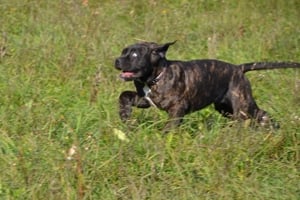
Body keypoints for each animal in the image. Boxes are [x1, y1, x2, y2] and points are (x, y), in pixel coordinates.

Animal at [115, 40, 300, 131]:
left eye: (134, 54)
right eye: (123, 52)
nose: (116, 60)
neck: (155, 77)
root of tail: (238, 68)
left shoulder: (177, 108)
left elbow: (171, 126)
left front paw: (165, 138)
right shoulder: (145, 100)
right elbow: (124, 95)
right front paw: (125, 116)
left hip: (243, 106)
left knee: (260, 114)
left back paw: (273, 129)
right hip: (225, 108)